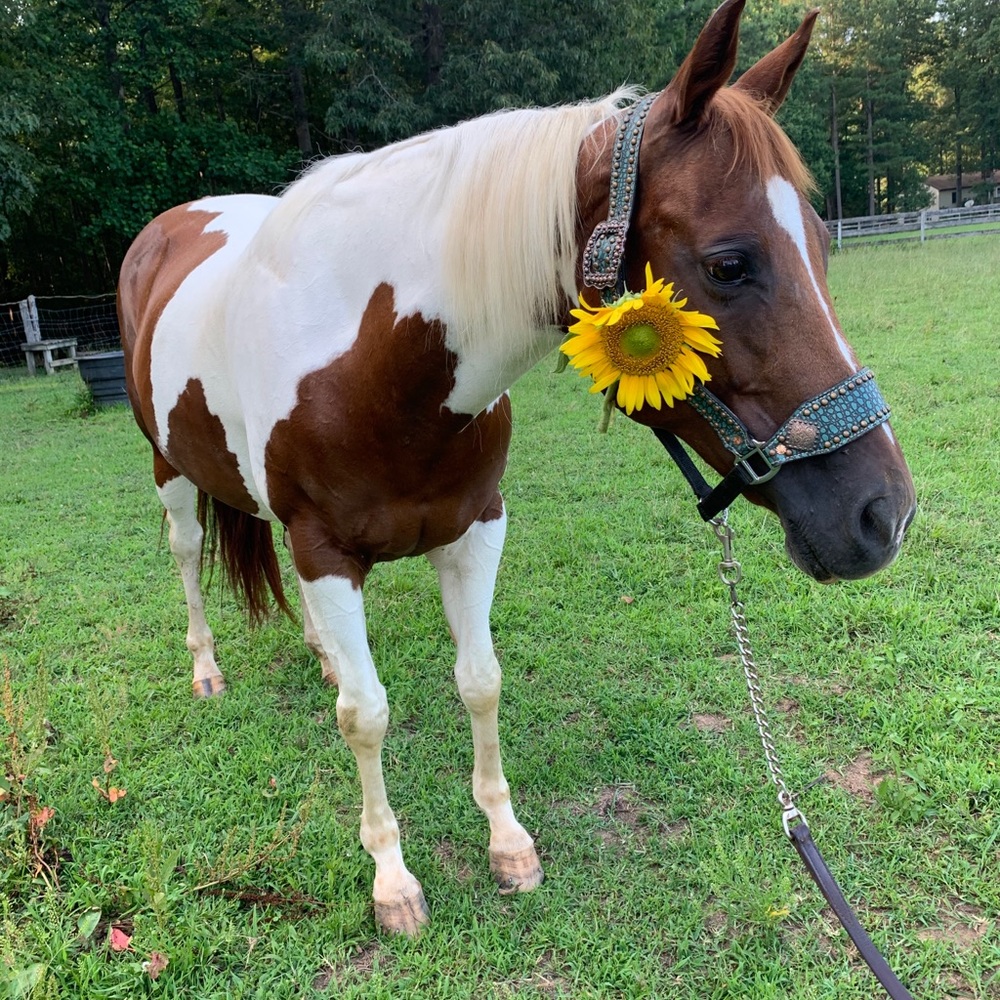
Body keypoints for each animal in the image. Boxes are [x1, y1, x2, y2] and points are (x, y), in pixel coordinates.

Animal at [117, 0, 915, 936]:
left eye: (823, 245)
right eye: (729, 263)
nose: (883, 516)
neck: (371, 360)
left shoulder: (473, 530)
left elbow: (480, 682)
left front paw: (508, 844)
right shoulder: (326, 552)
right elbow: (367, 716)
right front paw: (392, 882)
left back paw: (322, 653)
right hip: (169, 471)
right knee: (186, 558)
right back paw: (207, 669)